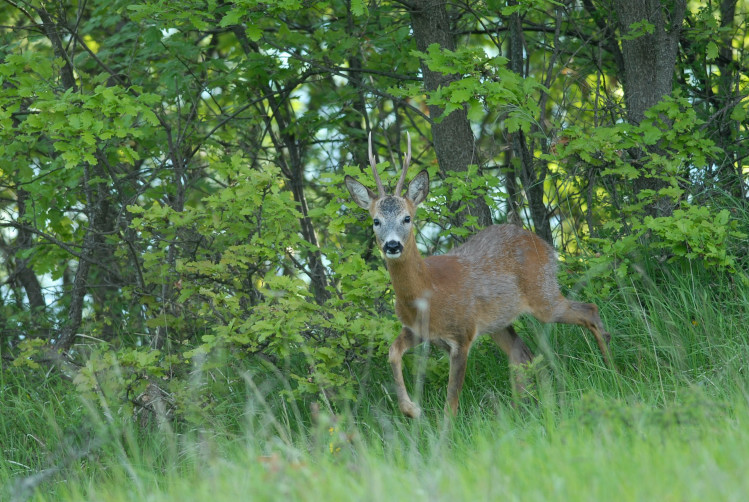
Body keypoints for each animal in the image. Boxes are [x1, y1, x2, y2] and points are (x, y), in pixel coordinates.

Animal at [344, 131, 608, 418]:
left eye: (407, 218)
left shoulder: (463, 333)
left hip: (543, 295)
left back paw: (611, 370)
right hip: (499, 321)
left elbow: (451, 401)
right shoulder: (417, 330)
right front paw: (412, 409)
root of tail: (544, 245)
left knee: (590, 310)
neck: (427, 293)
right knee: (521, 354)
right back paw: (518, 411)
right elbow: (393, 352)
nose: (392, 245)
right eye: (376, 221)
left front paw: (441, 426)